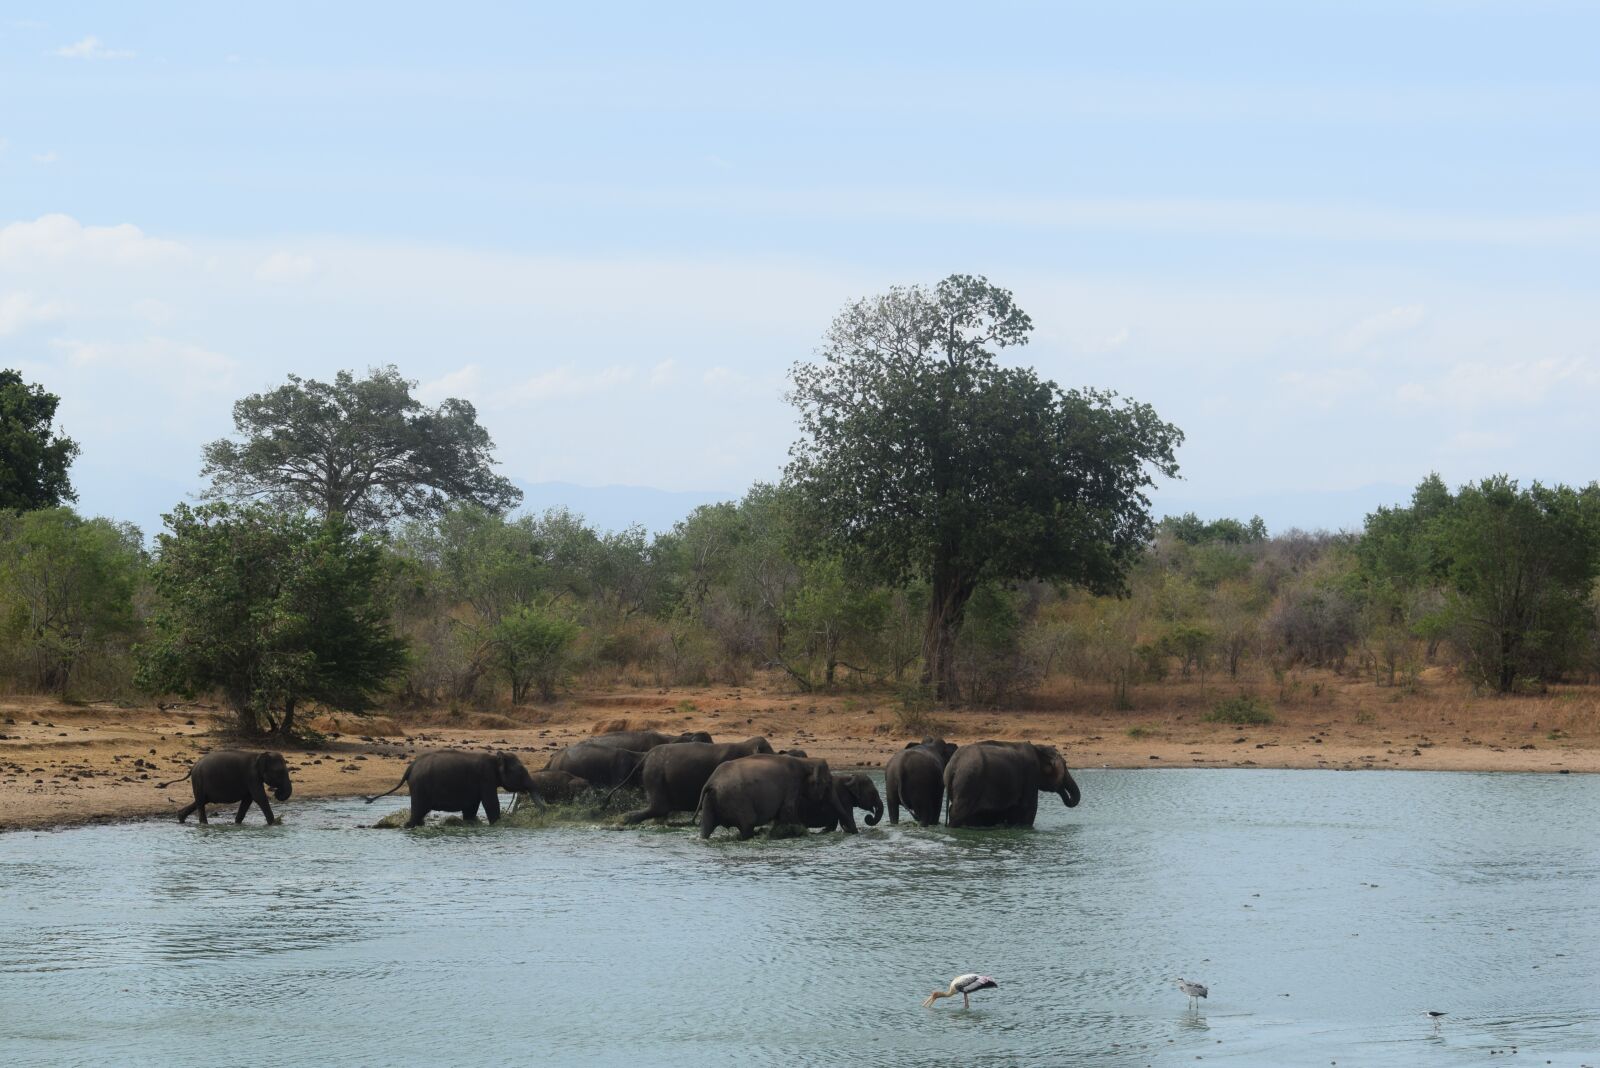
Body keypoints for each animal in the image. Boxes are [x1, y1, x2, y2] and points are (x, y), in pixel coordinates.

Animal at [158, 750, 292, 825]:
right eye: (280, 772)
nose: (276, 793)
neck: (260, 755)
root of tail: (193, 766)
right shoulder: (252, 776)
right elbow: (259, 797)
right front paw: (274, 824)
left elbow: (248, 800)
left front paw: (237, 824)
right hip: (198, 779)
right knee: (201, 802)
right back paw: (203, 824)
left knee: (201, 800)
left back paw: (181, 818)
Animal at [366, 750, 546, 828]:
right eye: (521, 772)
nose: (544, 812)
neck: (495, 758)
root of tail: (410, 767)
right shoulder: (486, 778)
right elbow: (491, 804)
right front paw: (496, 824)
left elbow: (471, 808)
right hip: (419, 788)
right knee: (417, 812)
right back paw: (409, 826)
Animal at [696, 754, 852, 839]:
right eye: (829, 783)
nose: (850, 831)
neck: (805, 762)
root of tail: (710, 782)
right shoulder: (792, 783)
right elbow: (788, 812)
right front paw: (804, 833)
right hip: (737, 799)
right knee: (748, 824)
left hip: (710, 801)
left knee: (706, 828)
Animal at [943, 741, 1081, 828]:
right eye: (1065, 764)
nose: (1061, 788)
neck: (1038, 748)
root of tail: (953, 765)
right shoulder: (1031, 775)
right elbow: (1029, 808)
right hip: (968, 783)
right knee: (957, 812)